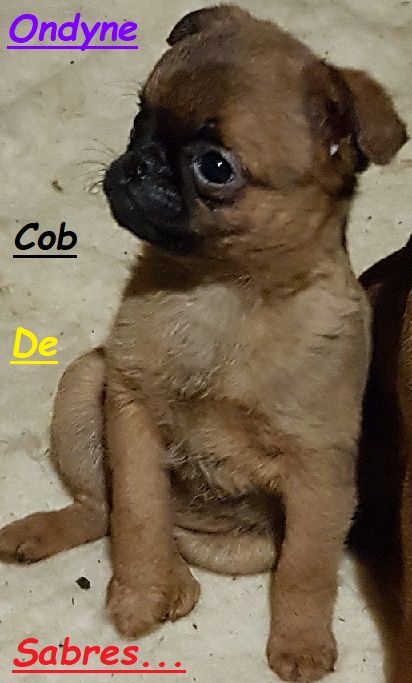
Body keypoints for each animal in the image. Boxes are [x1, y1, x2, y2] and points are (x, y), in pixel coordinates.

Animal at [0, 6, 407, 682]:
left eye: (215, 167)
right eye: (140, 118)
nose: (138, 162)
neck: (225, 294)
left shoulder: (319, 476)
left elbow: (306, 570)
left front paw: (300, 643)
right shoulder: (131, 412)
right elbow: (138, 514)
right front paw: (139, 596)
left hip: (252, 543)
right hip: (86, 384)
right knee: (102, 508)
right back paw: (78, 547)